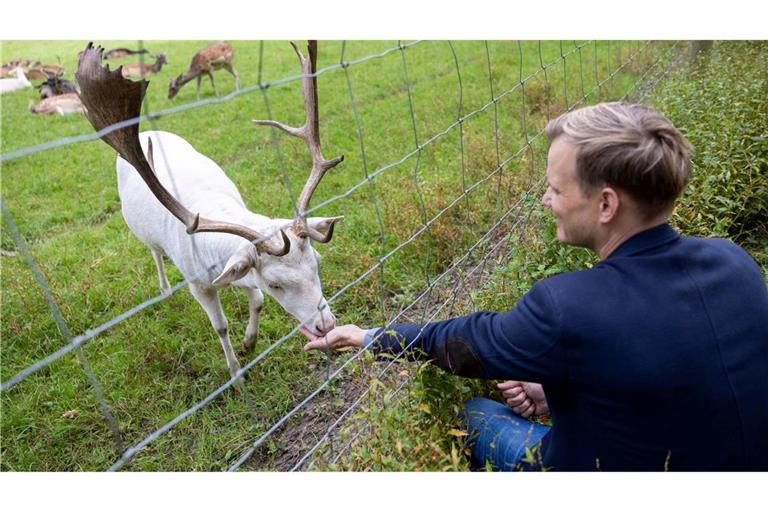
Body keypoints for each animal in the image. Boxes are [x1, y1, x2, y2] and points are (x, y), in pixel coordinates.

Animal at [76, 43, 344, 380]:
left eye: (318, 263)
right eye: (276, 284)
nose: (327, 325)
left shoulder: (239, 270)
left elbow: (257, 302)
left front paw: (250, 342)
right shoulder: (198, 283)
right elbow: (221, 326)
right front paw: (236, 373)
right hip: (140, 231)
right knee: (154, 252)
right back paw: (164, 289)